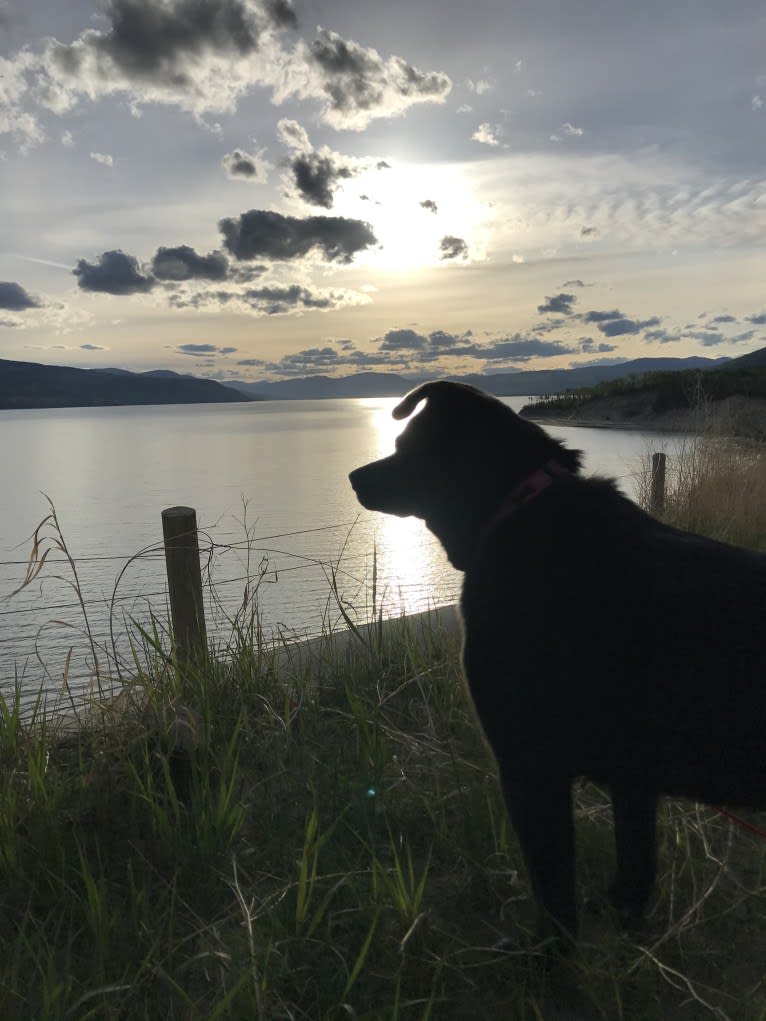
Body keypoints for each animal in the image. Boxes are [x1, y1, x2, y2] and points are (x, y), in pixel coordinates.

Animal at [349, 379, 766, 943]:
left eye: (405, 443)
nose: (354, 476)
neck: (517, 507)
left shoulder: (529, 766)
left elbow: (555, 899)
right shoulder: (634, 779)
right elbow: (634, 873)